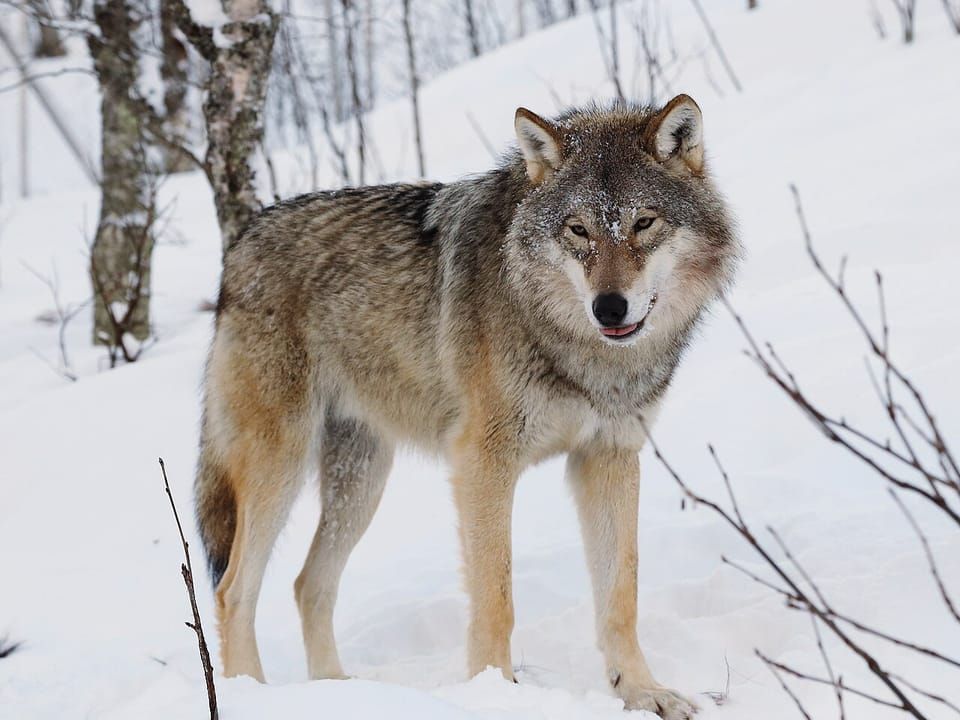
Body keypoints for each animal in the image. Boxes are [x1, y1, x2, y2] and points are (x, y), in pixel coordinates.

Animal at [195, 94, 739, 719]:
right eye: (578, 230)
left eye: (644, 223)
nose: (608, 307)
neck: (578, 350)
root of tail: (240, 243)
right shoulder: (483, 463)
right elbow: (496, 598)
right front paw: (495, 693)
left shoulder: (608, 457)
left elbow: (621, 595)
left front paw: (643, 692)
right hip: (279, 468)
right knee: (233, 590)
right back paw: (250, 695)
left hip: (361, 481)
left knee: (309, 584)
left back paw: (341, 693)